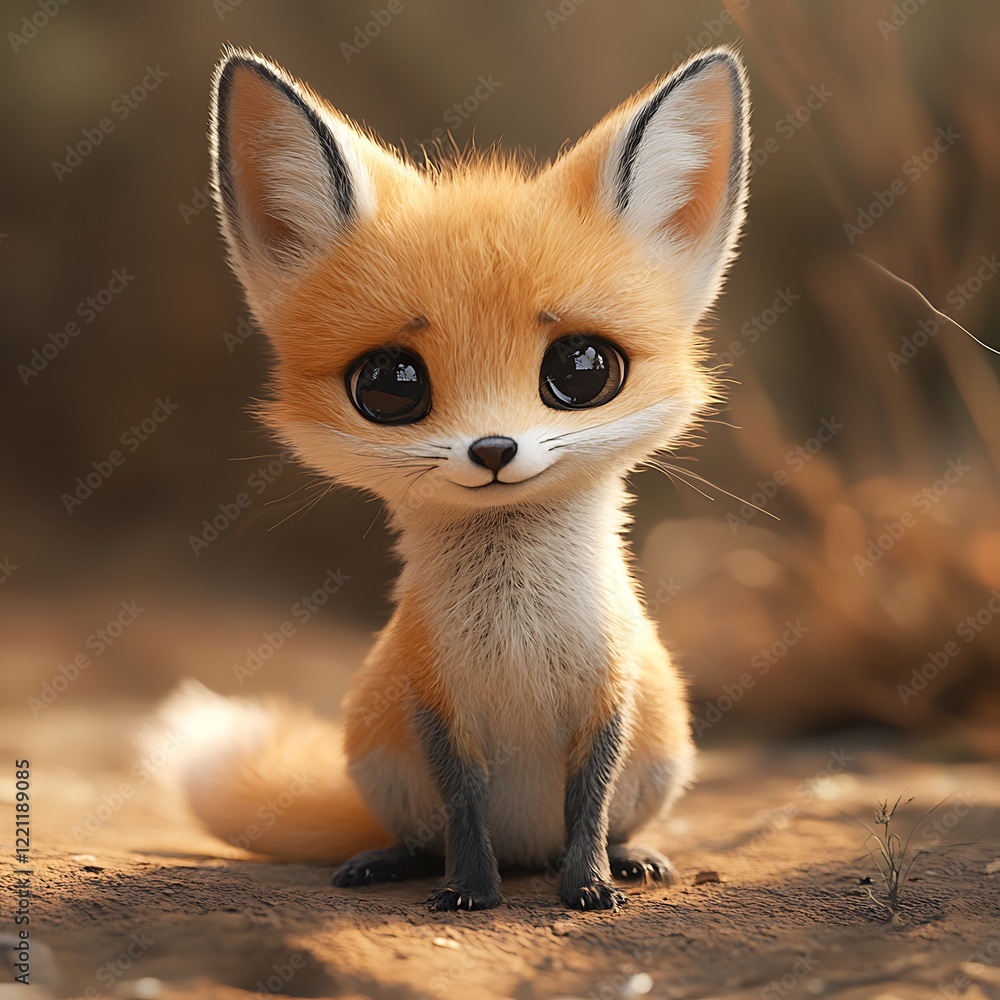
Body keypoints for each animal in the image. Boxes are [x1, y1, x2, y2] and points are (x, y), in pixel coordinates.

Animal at [158, 44, 751, 912]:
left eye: (583, 369)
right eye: (390, 384)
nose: (493, 449)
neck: (516, 634)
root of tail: (528, 847)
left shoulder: (609, 699)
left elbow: (591, 802)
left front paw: (589, 886)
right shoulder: (434, 707)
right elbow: (464, 809)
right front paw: (471, 891)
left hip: (664, 756)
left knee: (605, 822)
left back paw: (629, 856)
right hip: (383, 762)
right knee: (422, 834)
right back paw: (392, 861)